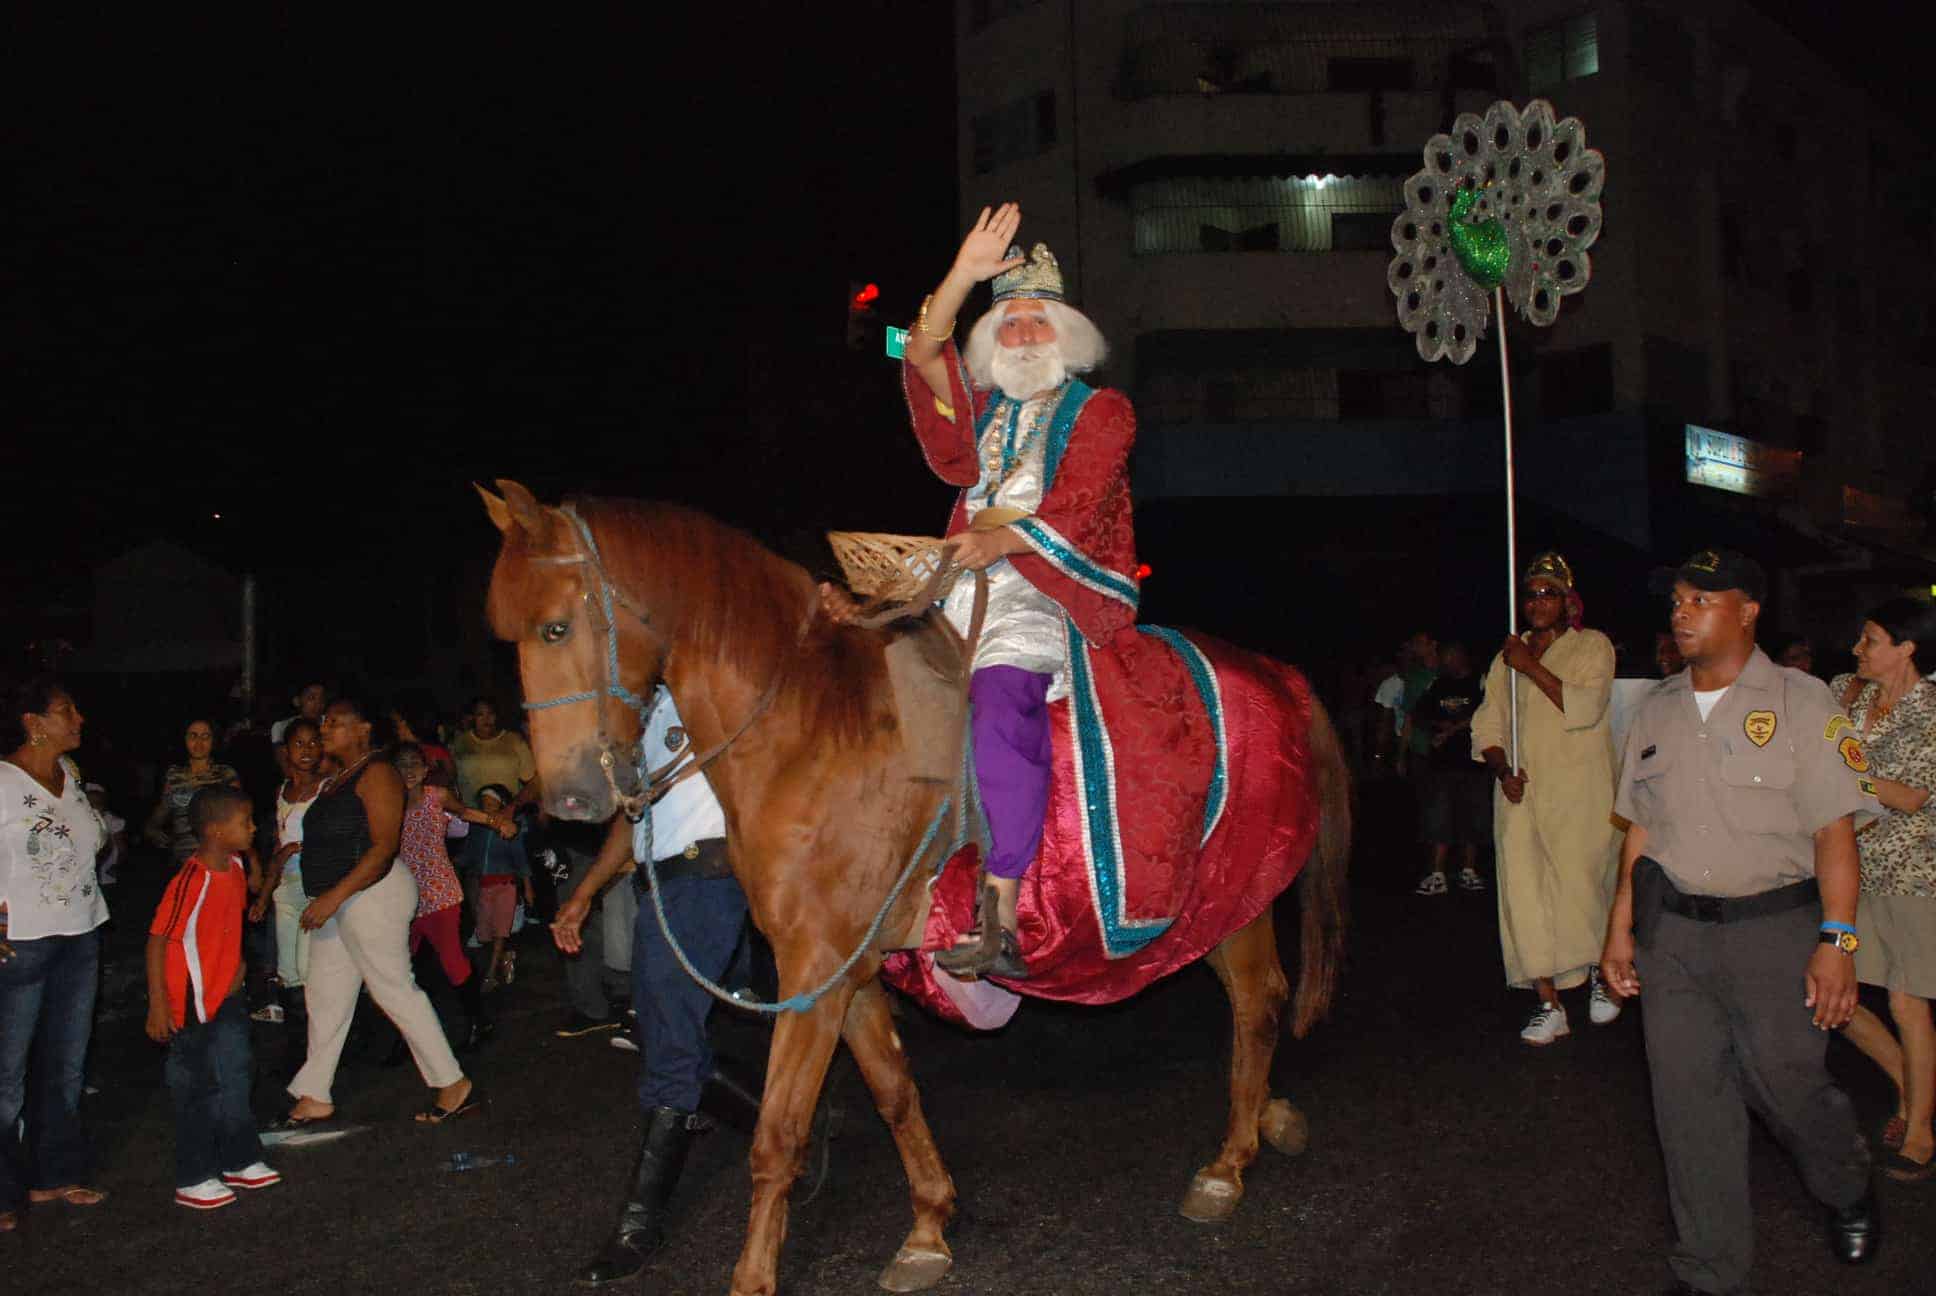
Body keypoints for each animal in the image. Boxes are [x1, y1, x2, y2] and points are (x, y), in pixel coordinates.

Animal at [478, 478, 1355, 1294]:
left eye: (556, 627)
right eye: (510, 639)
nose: (570, 801)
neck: (812, 728)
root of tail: (1275, 674)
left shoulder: (811, 975)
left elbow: (779, 1135)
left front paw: (754, 1275)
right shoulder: (848, 971)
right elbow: (896, 1092)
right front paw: (930, 1227)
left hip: (1233, 902)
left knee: (1258, 1006)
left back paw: (1228, 1163)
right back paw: (1269, 1118)